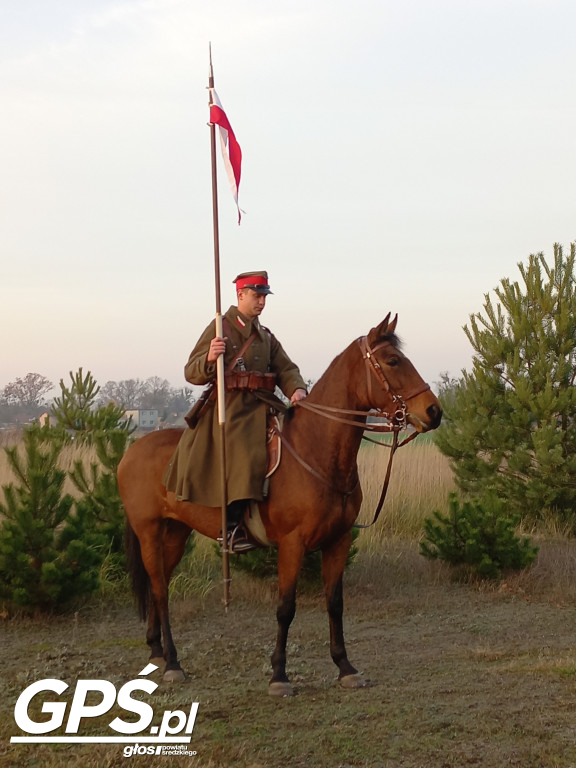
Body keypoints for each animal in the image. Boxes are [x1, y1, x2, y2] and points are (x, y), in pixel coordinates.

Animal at [117, 312, 440, 696]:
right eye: (393, 361)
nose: (434, 412)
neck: (316, 450)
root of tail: (131, 450)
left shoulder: (338, 541)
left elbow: (335, 603)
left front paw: (345, 666)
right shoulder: (292, 544)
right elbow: (286, 607)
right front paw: (279, 674)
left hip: (176, 533)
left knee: (159, 584)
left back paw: (157, 651)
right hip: (149, 532)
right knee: (161, 589)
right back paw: (173, 663)